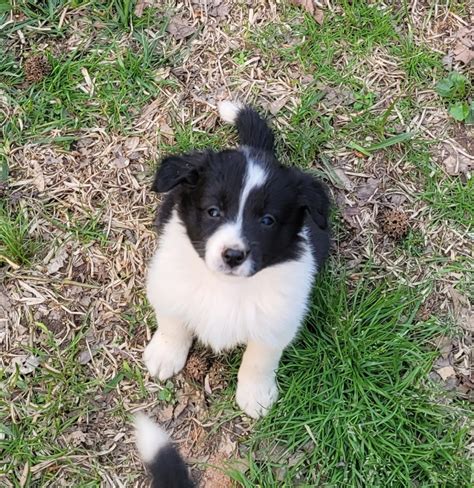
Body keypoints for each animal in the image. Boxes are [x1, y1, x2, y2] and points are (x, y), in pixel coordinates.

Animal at [144, 101, 330, 418]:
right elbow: (173, 323)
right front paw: (164, 355)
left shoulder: (277, 320)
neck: (226, 286)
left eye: (267, 220)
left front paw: (256, 395)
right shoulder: (169, 283)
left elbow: (259, 359)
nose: (232, 255)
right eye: (213, 211)